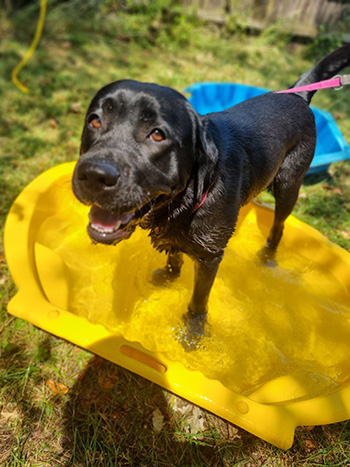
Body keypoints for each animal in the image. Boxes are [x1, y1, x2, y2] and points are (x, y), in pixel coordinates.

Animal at [72, 45, 350, 328]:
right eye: (94, 121)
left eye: (158, 134)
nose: (94, 175)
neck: (187, 199)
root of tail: (297, 95)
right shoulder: (172, 235)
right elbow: (173, 262)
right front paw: (165, 280)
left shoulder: (210, 256)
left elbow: (198, 300)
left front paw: (193, 330)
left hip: (288, 186)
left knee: (278, 227)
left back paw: (267, 258)